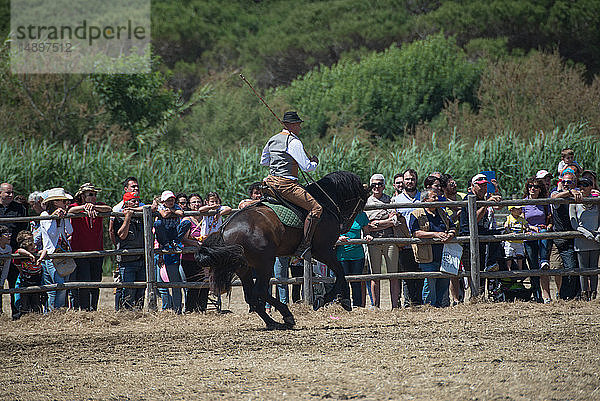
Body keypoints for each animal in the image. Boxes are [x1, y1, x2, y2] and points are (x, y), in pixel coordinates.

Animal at [195, 170, 370, 330]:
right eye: (361, 205)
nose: (345, 226)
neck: (325, 202)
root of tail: (224, 229)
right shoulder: (324, 250)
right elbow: (341, 273)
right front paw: (337, 300)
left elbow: (340, 274)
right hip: (265, 263)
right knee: (259, 291)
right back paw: (286, 315)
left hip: (244, 267)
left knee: (251, 296)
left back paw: (274, 322)